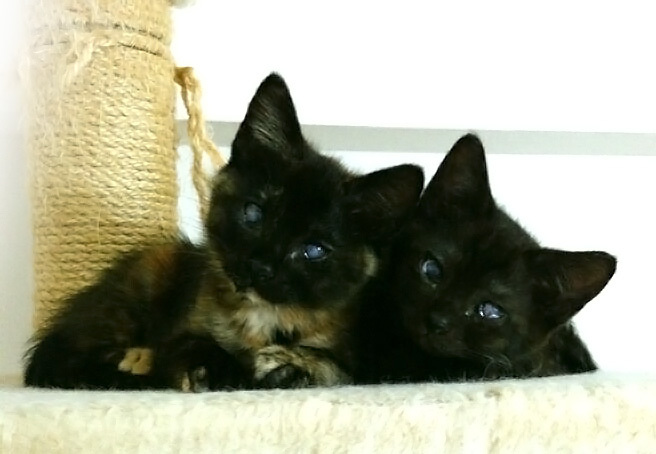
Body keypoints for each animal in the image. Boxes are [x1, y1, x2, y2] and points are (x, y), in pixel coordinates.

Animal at [24, 73, 424, 391]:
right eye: (253, 213)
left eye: (314, 250)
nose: (259, 267)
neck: (267, 317)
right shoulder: (184, 321)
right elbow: (187, 344)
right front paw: (215, 369)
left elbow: (337, 368)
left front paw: (293, 363)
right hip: (148, 275)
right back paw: (134, 360)